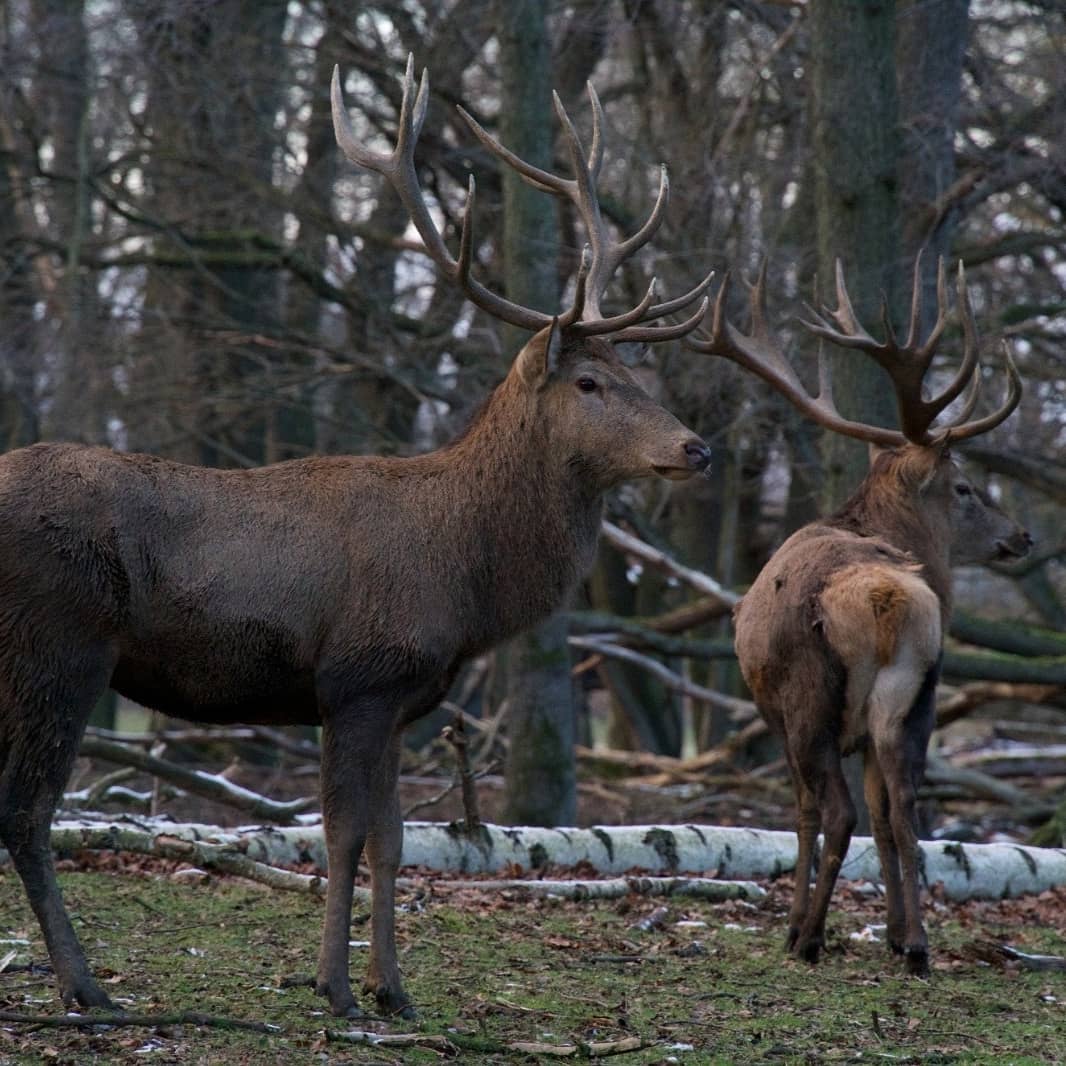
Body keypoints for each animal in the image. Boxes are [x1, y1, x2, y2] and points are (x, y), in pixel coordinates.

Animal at [2, 60, 716, 1023]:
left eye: (641, 373)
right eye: (592, 383)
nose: (696, 447)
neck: (465, 576)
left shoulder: (406, 698)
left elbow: (393, 838)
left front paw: (393, 990)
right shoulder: (359, 677)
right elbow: (342, 836)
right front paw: (337, 987)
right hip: (61, 644)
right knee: (27, 809)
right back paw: (85, 986)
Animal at [690, 257, 1031, 976]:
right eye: (965, 489)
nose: (1021, 536)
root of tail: (884, 598)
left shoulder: (774, 712)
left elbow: (805, 814)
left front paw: (797, 925)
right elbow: (883, 816)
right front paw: (898, 933)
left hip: (809, 698)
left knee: (835, 811)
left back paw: (809, 937)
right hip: (914, 694)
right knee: (901, 809)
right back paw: (918, 948)